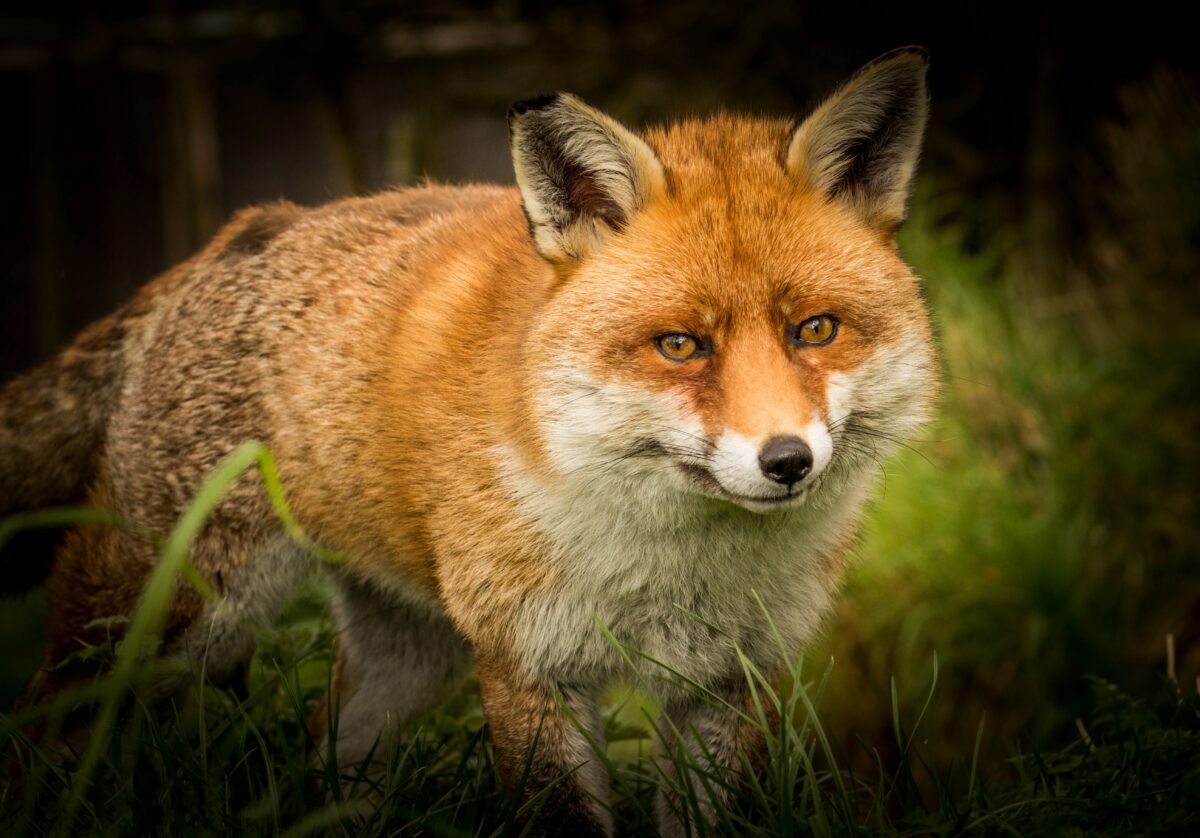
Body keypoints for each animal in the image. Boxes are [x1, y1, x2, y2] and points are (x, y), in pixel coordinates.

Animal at [1, 47, 936, 834]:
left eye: (815, 330)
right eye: (680, 345)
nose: (787, 461)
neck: (670, 566)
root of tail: (241, 232)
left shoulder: (727, 682)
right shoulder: (531, 666)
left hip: (409, 664)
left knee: (323, 754)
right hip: (165, 623)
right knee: (40, 730)